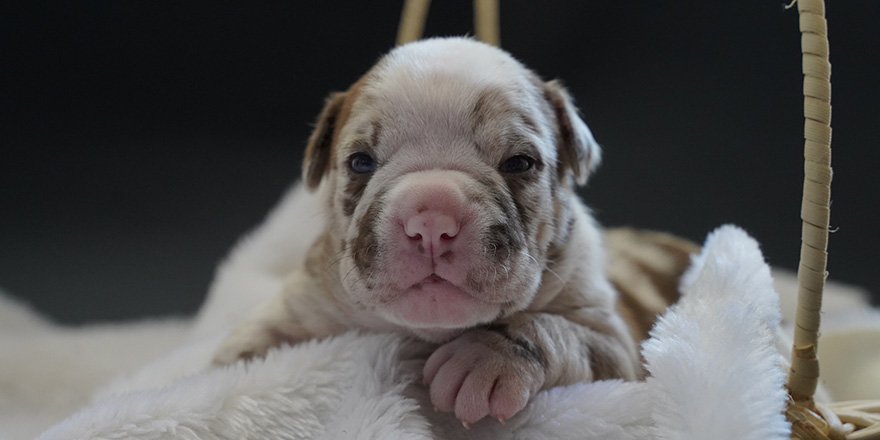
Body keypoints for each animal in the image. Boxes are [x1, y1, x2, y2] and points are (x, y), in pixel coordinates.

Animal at [217, 37, 648, 426]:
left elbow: (557, 330)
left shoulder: (613, 343)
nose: (431, 221)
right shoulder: (302, 306)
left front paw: (486, 357)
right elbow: (243, 350)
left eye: (520, 162)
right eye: (360, 162)